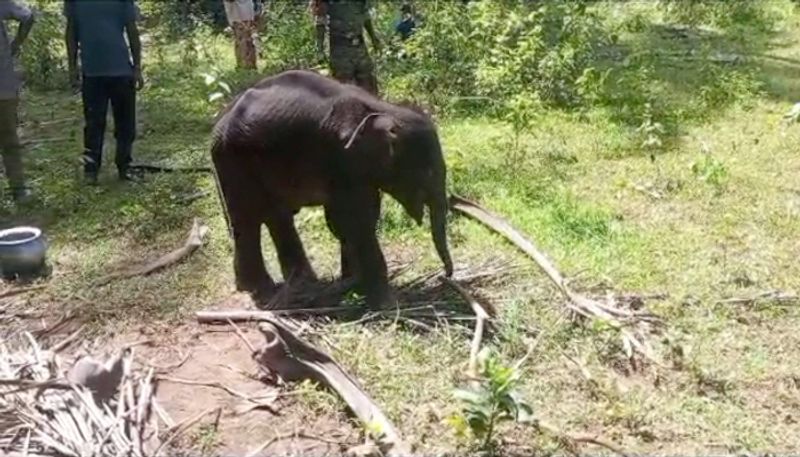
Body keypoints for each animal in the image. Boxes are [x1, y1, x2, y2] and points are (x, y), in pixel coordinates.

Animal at [209, 69, 454, 308]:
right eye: (428, 171)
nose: (447, 275)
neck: (383, 109)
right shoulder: (341, 159)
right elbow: (355, 221)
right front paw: (386, 304)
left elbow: (349, 220)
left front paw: (353, 285)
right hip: (232, 162)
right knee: (247, 219)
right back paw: (259, 288)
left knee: (276, 216)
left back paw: (303, 283)